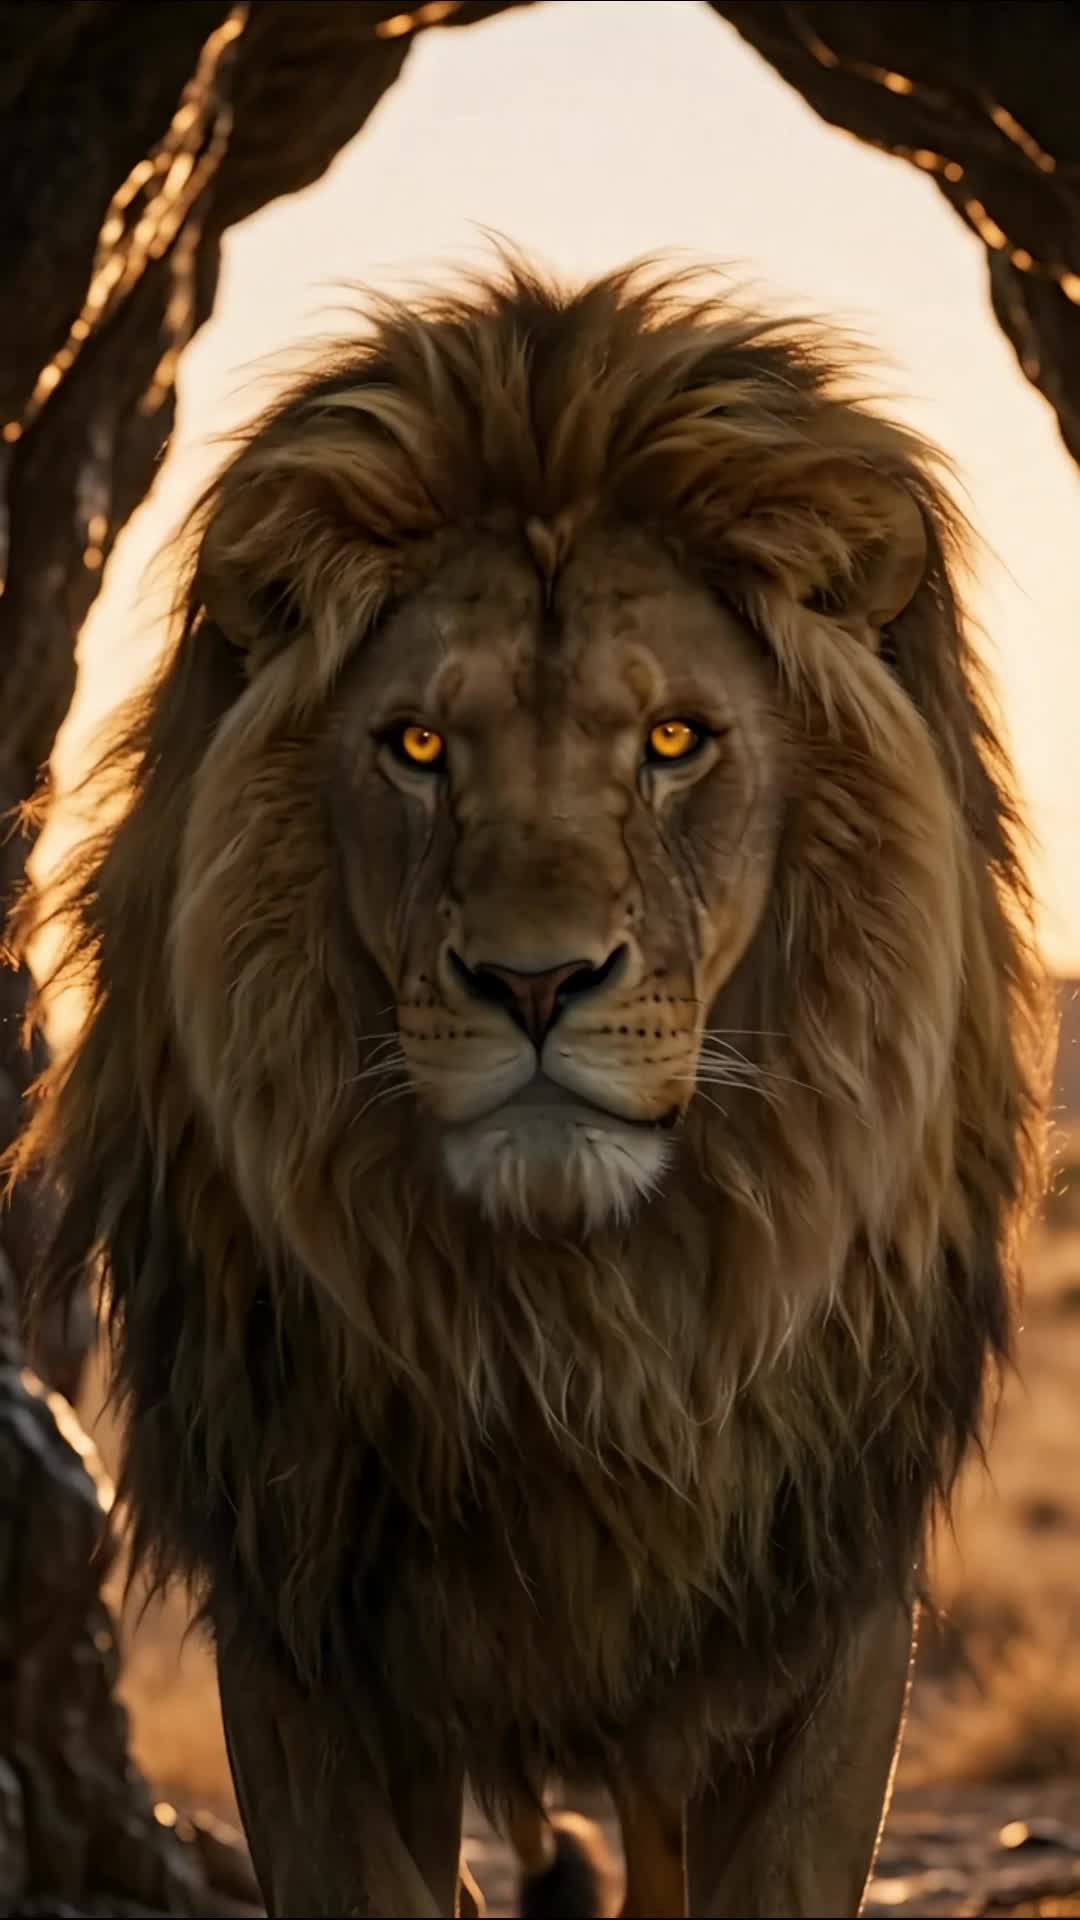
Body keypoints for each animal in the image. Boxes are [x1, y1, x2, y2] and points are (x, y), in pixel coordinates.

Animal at [13, 257, 1046, 1918]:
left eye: (675, 740)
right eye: (420, 744)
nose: (538, 982)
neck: (574, 1321)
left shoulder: (822, 1612)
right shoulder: (303, 1627)